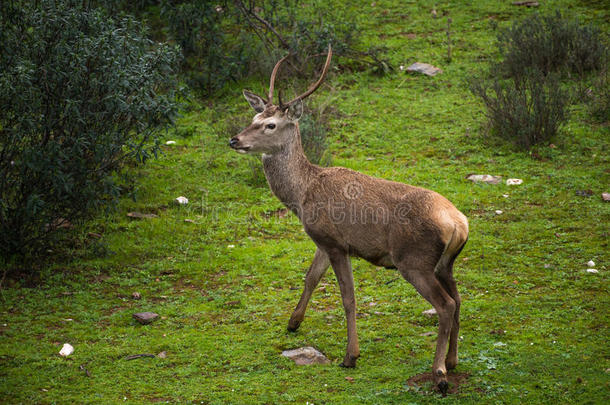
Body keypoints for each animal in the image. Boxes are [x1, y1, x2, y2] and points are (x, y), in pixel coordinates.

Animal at [230, 45, 468, 394]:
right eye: (253, 118)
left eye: (270, 124)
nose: (234, 139)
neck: (302, 194)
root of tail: (459, 223)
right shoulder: (321, 239)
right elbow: (310, 278)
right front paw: (293, 322)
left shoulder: (337, 243)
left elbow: (348, 298)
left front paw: (350, 355)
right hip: (444, 263)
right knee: (459, 299)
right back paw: (452, 361)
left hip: (413, 260)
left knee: (446, 304)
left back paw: (439, 373)